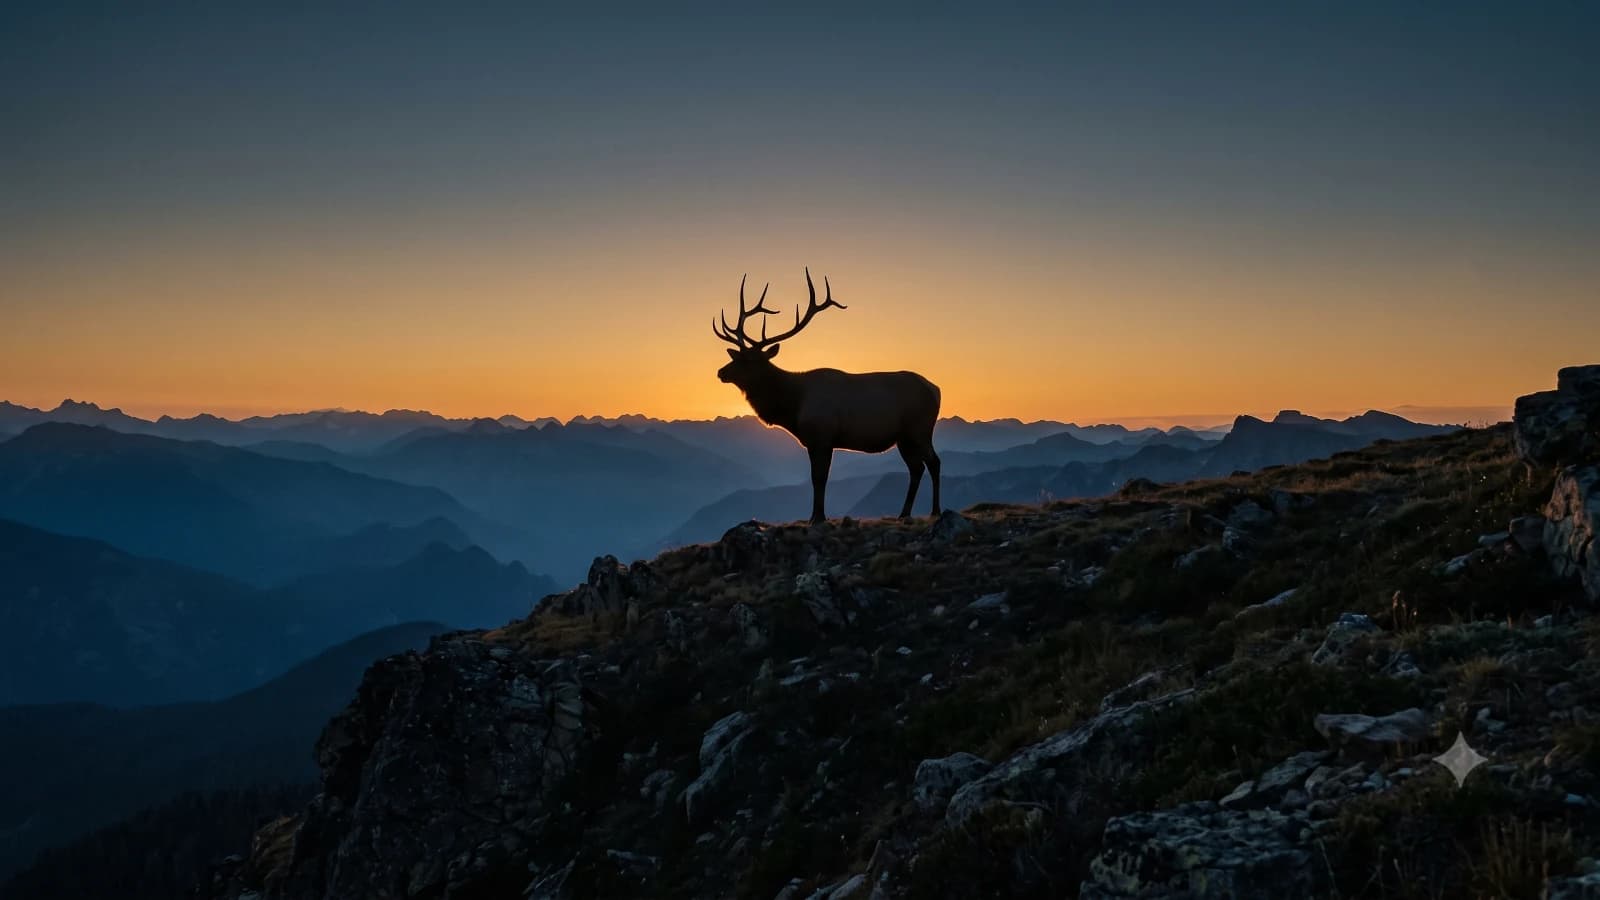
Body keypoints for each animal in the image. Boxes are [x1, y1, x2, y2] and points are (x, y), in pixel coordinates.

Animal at [713, 268, 942, 524]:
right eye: (735, 356)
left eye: (748, 360)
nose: (721, 372)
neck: (793, 406)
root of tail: (936, 390)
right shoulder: (815, 441)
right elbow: (817, 478)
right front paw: (815, 515)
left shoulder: (822, 435)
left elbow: (819, 478)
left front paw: (818, 516)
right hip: (904, 437)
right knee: (916, 468)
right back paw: (904, 513)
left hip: (920, 429)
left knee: (934, 462)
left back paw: (935, 510)